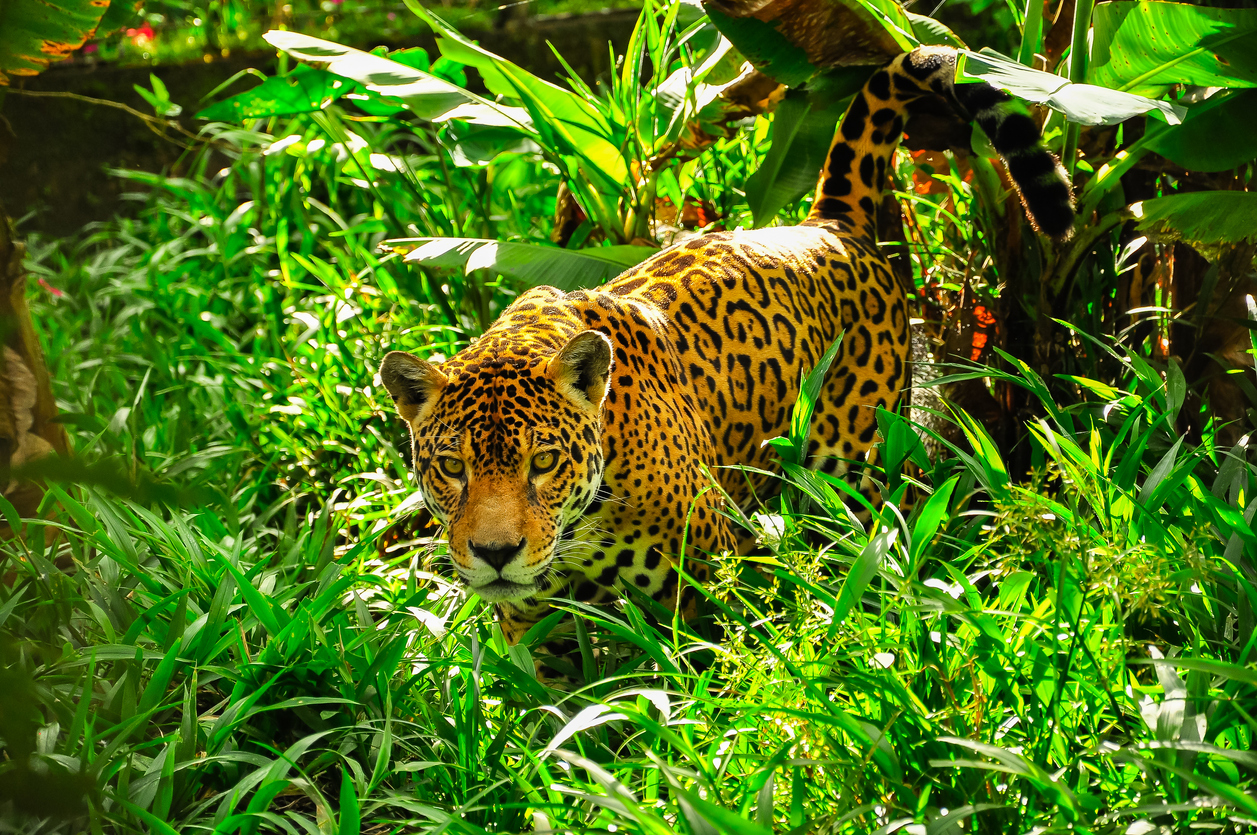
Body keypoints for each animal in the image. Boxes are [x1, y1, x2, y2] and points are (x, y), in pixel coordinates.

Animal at [379, 45, 1074, 647]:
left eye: (544, 462)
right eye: (451, 467)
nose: (496, 555)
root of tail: (829, 222)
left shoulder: (708, 592)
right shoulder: (536, 636)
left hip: (862, 469)